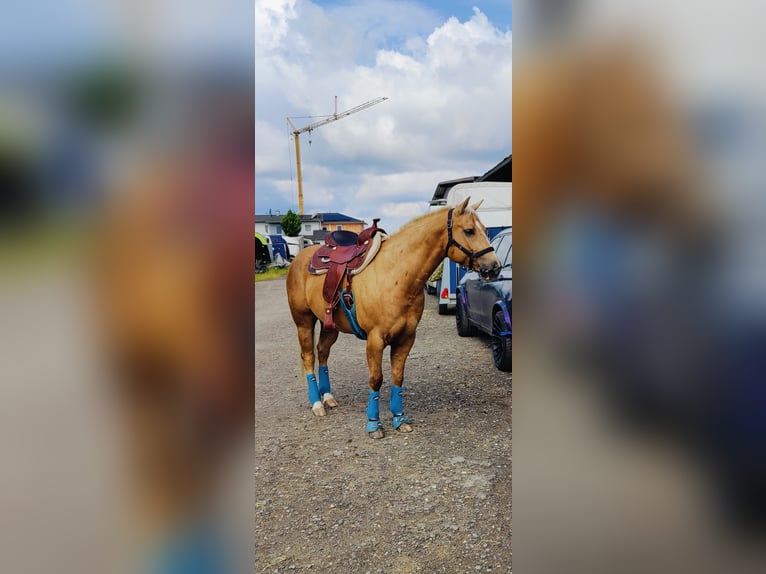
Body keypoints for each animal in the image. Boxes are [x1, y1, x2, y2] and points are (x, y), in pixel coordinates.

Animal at [284, 198, 500, 440]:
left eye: (484, 229)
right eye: (469, 230)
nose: (494, 266)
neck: (395, 274)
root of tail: (301, 258)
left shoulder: (406, 338)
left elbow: (398, 377)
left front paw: (399, 419)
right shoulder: (375, 340)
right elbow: (376, 379)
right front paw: (374, 424)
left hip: (330, 325)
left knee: (322, 352)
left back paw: (328, 397)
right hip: (304, 322)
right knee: (309, 357)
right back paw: (316, 404)